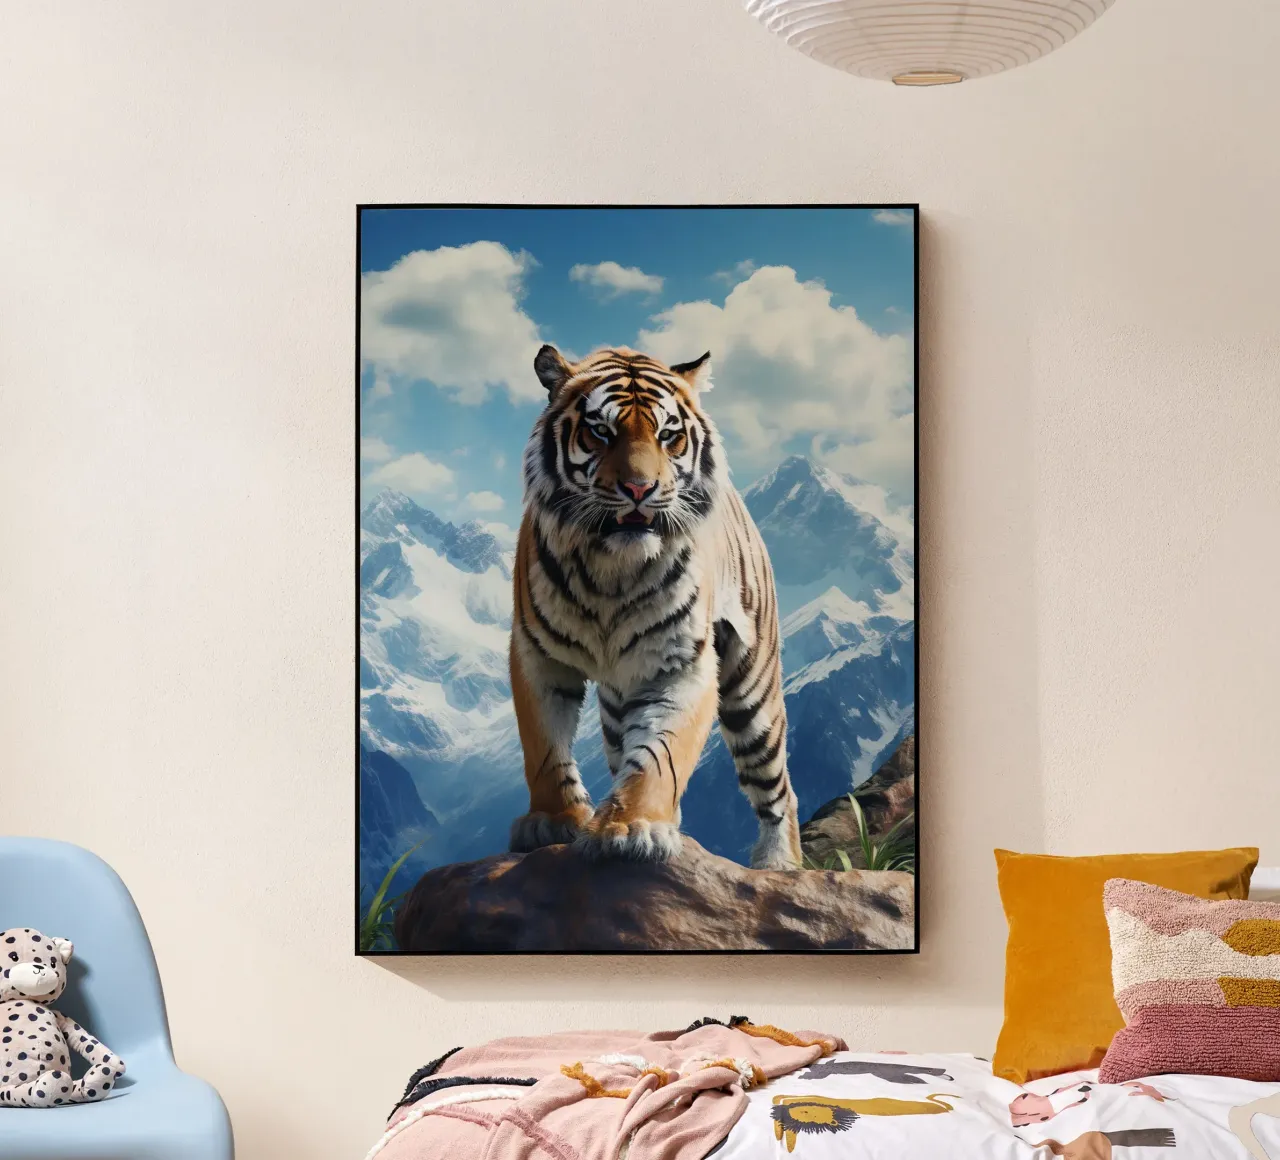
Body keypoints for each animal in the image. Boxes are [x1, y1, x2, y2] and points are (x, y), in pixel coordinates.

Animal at [508, 342, 802, 870]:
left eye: (669, 436)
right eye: (601, 431)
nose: (640, 489)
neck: (610, 569)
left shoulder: (682, 662)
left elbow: (661, 752)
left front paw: (633, 827)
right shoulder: (536, 655)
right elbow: (543, 744)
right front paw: (552, 822)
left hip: (753, 695)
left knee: (777, 789)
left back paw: (778, 864)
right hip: (614, 708)